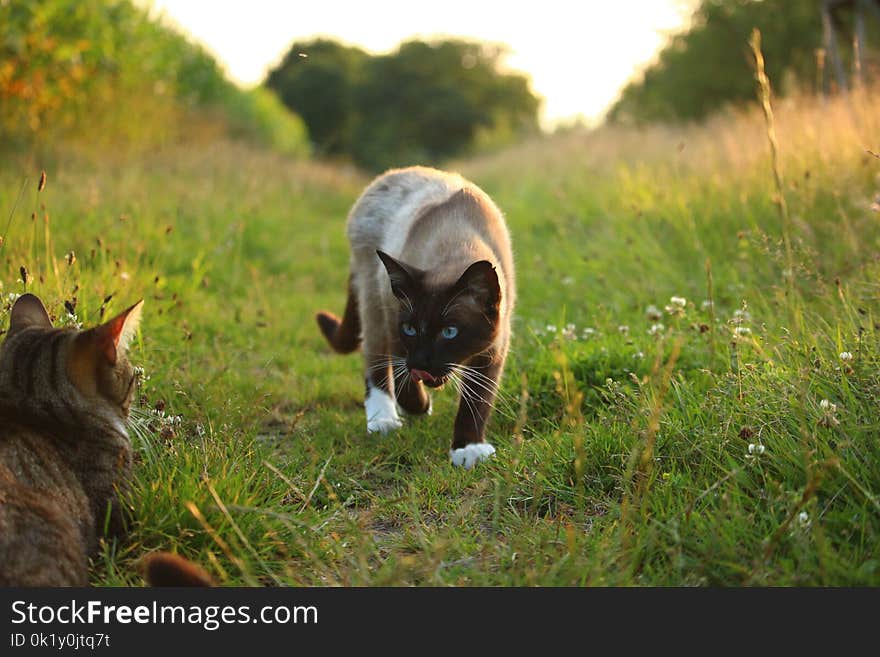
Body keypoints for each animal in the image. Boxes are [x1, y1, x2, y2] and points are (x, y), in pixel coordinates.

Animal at [316, 167, 512, 468]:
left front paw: (468, 450)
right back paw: (383, 420)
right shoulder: (395, 328)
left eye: (449, 332)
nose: (421, 363)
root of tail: (387, 177)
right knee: (374, 361)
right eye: (410, 329)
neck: (457, 244)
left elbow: (476, 402)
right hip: (373, 299)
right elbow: (403, 381)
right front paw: (421, 406)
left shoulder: (493, 350)